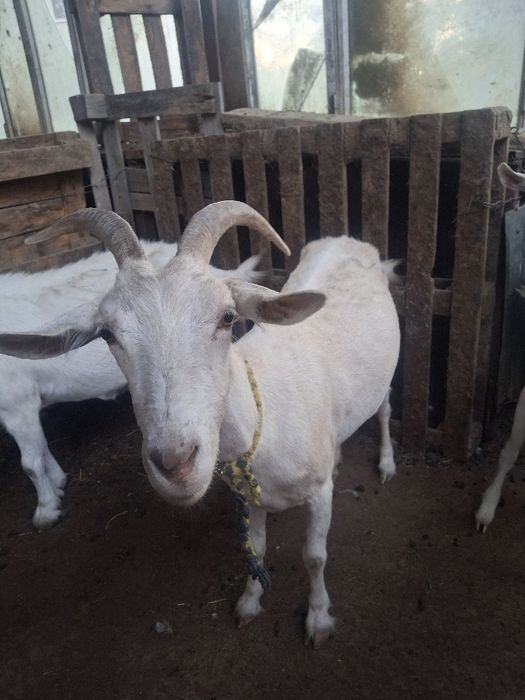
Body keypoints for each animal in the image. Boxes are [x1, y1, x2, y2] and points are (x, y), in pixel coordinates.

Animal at [0, 234, 261, 530]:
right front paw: (58, 483)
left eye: (226, 317)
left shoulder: (16, 401)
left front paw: (46, 511)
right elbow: (42, 448)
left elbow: (30, 464)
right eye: (105, 334)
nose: (174, 462)